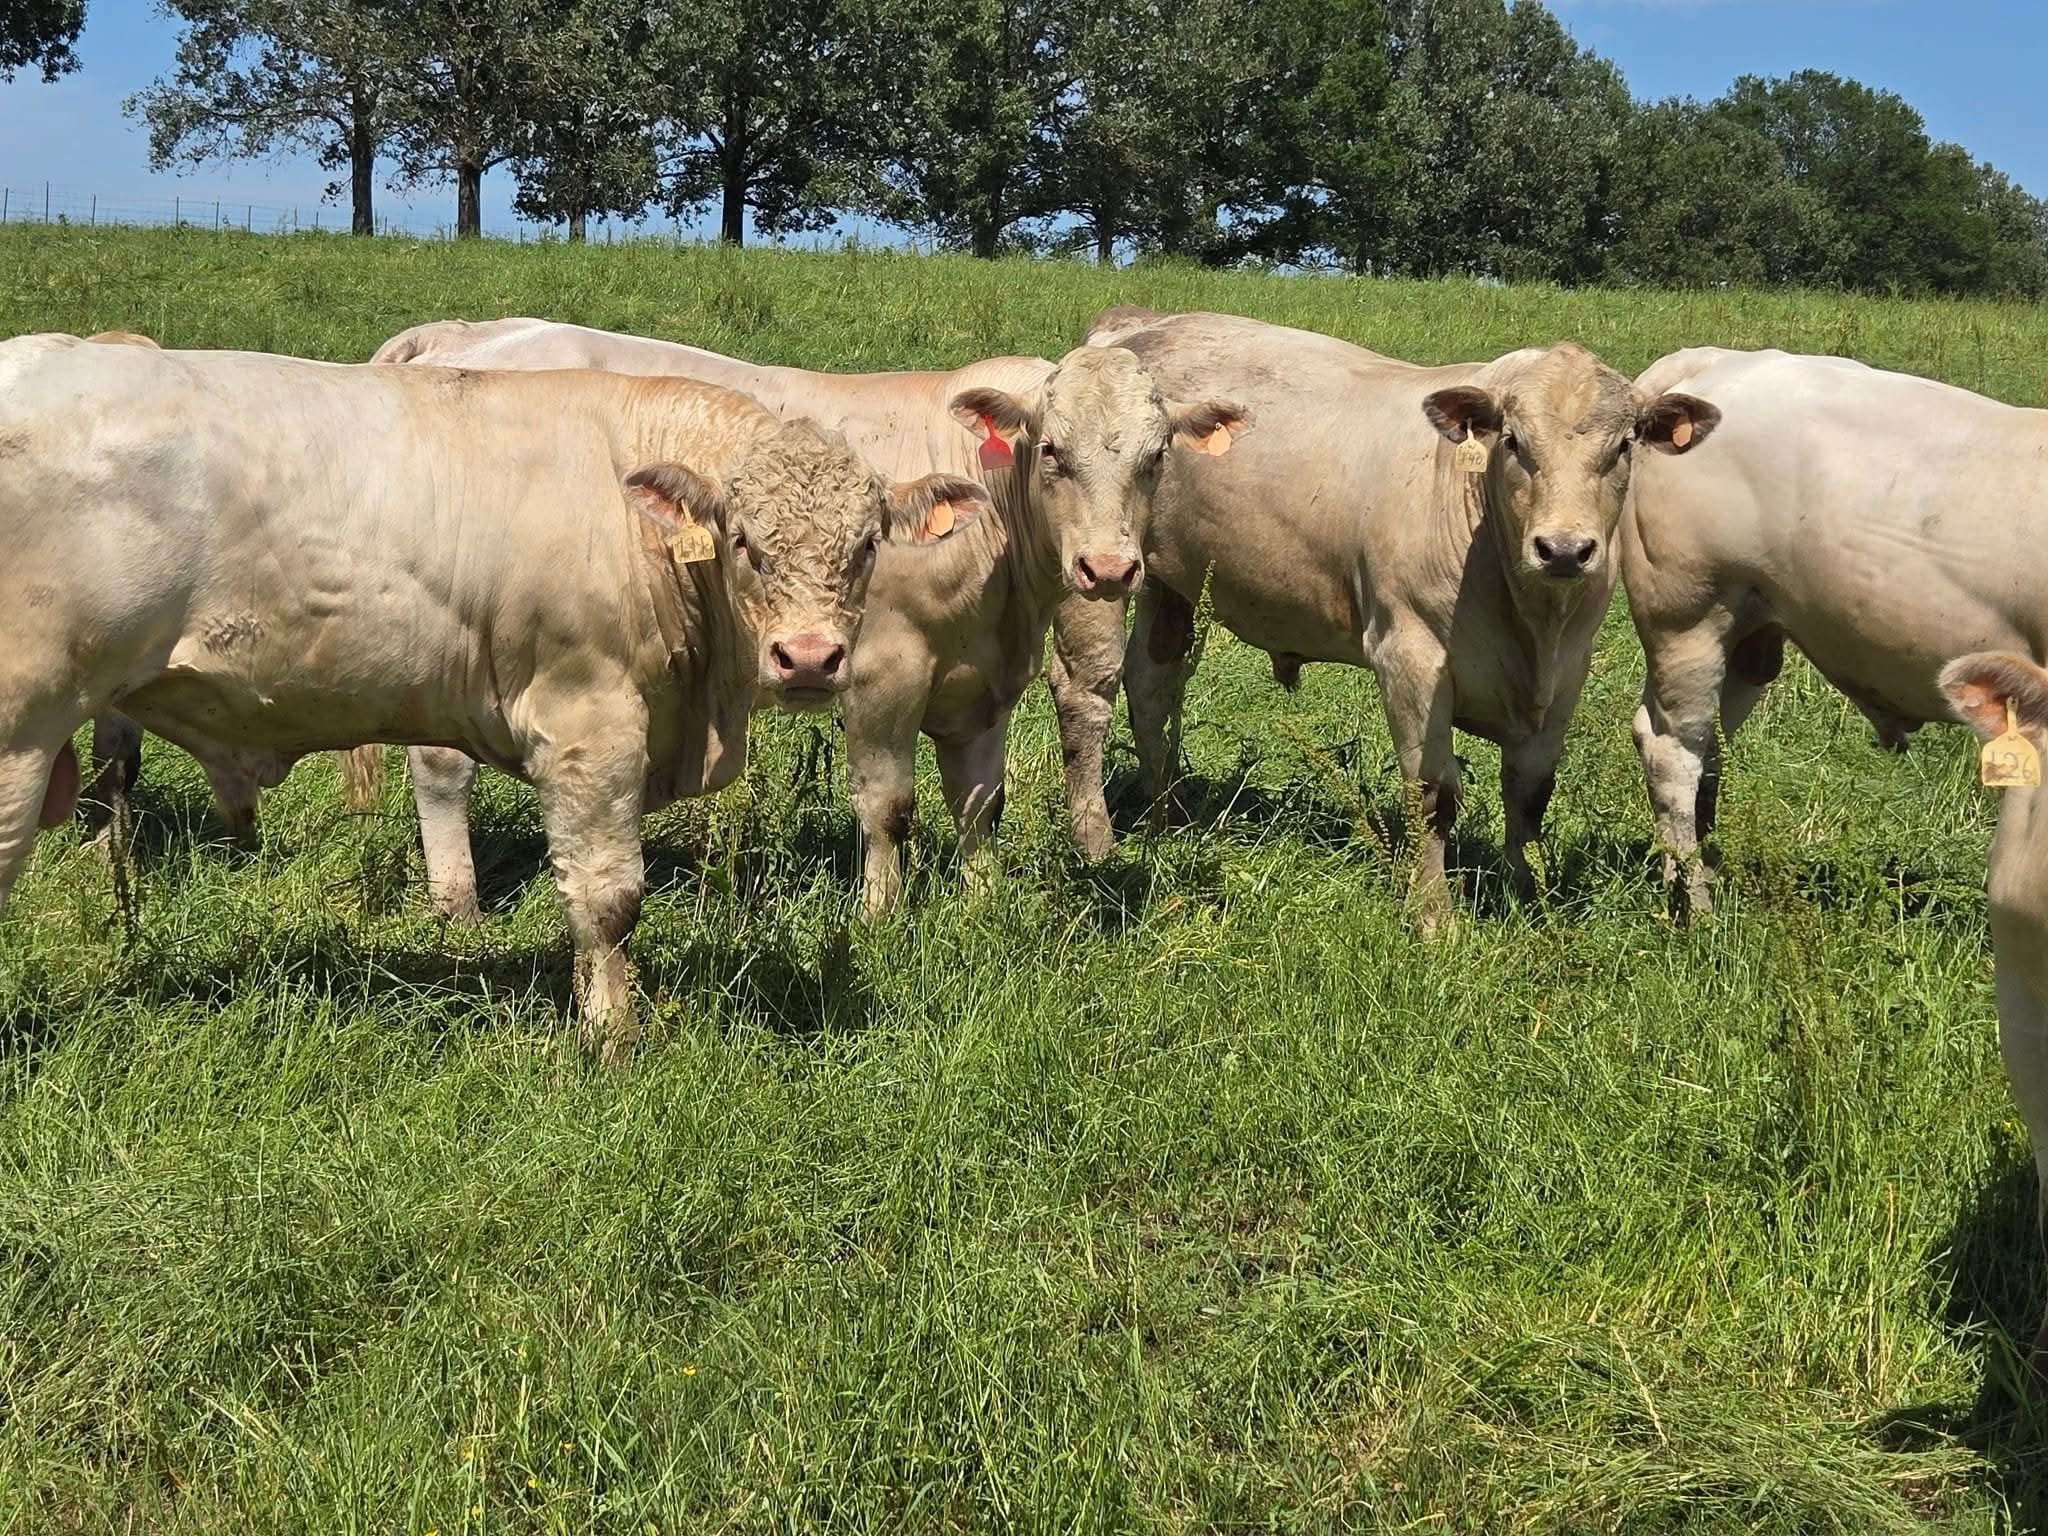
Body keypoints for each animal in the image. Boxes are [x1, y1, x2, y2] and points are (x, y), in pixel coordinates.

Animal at [0, 334, 986, 1056]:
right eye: (745, 541)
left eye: (866, 544)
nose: (810, 658)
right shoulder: (589, 722)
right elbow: (608, 896)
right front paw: (612, 1040)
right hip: (20, 734)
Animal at [358, 317, 1247, 915]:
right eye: (1053, 450)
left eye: (1156, 456)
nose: (1110, 569)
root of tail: (469, 333)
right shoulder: (884, 669)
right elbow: (889, 806)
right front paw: (883, 915)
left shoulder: (982, 679)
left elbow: (978, 802)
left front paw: (982, 902)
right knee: (439, 768)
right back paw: (460, 909)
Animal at [1052, 307, 1720, 920]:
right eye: (1513, 442)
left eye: (1624, 446)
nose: (1562, 549)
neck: (1532, 622)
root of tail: (1137, 323)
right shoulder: (1410, 656)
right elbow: (1432, 791)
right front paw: (1435, 916)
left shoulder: (1565, 676)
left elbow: (1530, 793)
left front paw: (1526, 898)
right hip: (1099, 567)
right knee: (1086, 693)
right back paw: (1097, 843)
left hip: (1170, 582)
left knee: (1153, 685)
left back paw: (1164, 816)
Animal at [1624, 347, 2046, 917]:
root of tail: (1722, 359)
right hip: (1688, 617)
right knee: (1673, 752)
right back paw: (1695, 906)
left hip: (1747, 633)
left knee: (1705, 748)